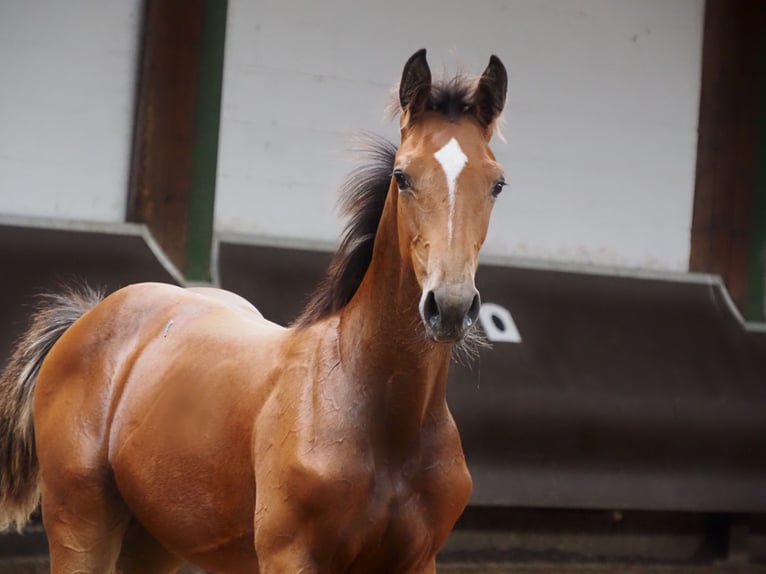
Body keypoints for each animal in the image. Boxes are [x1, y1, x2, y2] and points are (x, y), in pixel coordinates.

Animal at [0, 50, 510, 574]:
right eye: (403, 176)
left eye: (497, 184)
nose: (450, 306)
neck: (382, 418)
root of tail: (90, 313)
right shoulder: (290, 556)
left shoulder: (417, 561)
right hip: (80, 524)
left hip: (154, 539)